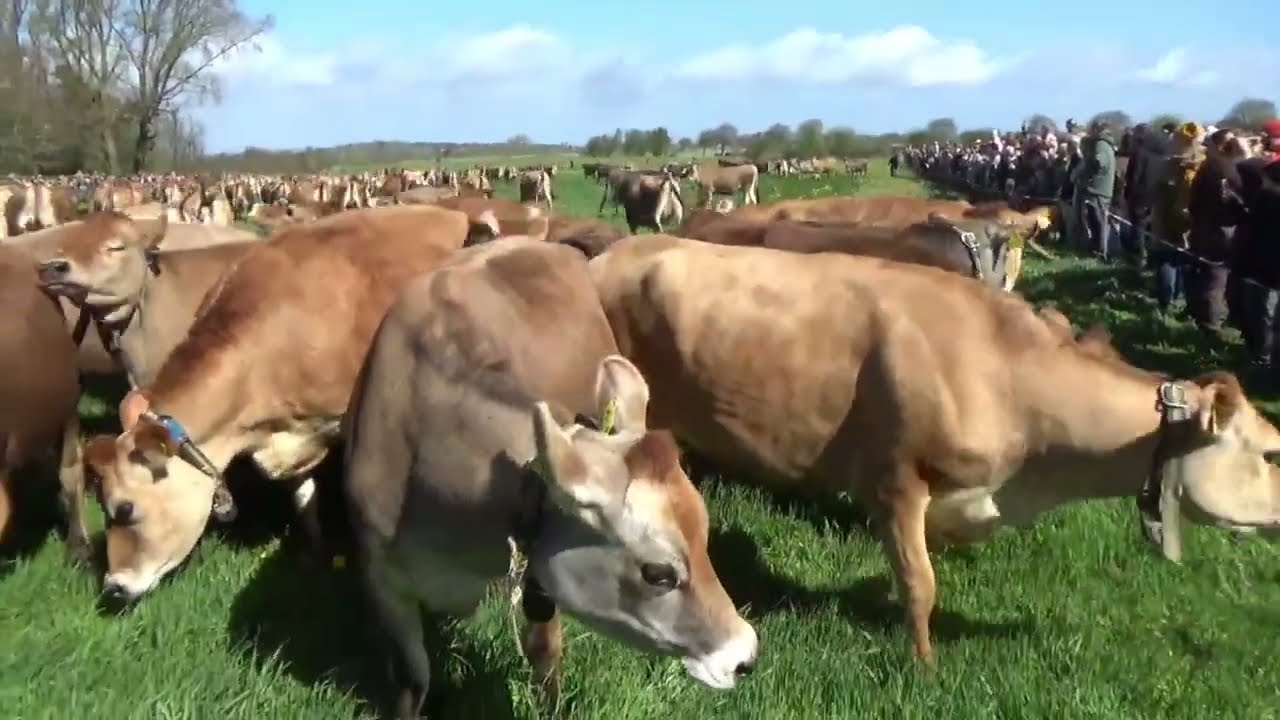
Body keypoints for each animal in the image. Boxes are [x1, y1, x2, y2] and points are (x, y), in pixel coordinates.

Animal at [344, 238, 758, 715]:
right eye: (658, 573)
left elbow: (544, 651)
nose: (745, 655)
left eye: (705, 536)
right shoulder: (380, 578)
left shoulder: (539, 576)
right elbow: (413, 677)